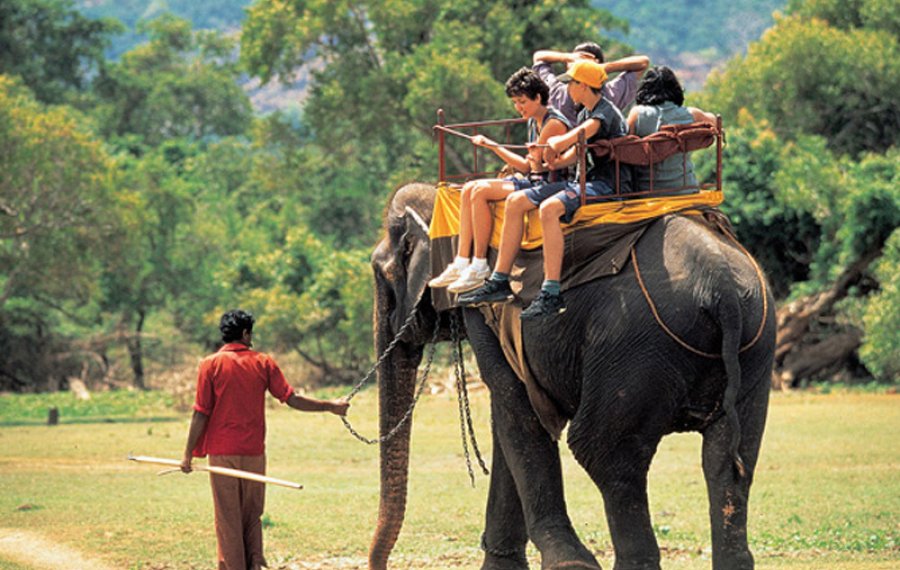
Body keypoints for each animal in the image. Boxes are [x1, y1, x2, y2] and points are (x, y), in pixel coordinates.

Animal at [368, 182, 775, 570]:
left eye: (380, 273)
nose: (381, 565)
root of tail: (722, 289)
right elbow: (509, 419)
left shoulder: (482, 306)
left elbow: (515, 408)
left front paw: (570, 563)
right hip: (754, 343)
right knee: (728, 459)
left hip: (633, 347)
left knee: (604, 452)